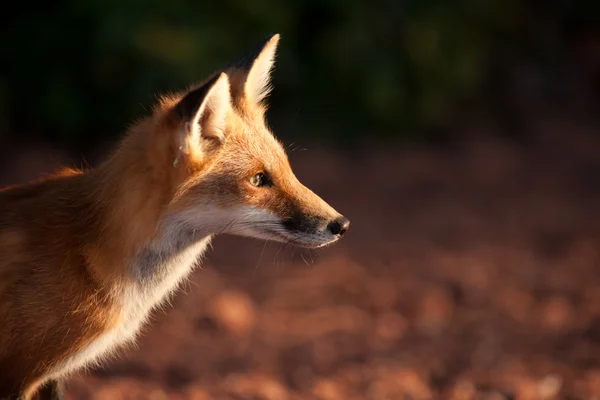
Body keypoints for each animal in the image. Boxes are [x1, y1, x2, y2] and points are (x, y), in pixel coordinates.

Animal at [0, 35, 350, 400]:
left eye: (286, 168)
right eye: (258, 179)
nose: (341, 224)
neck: (88, 250)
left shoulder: (49, 377)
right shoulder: (20, 372)